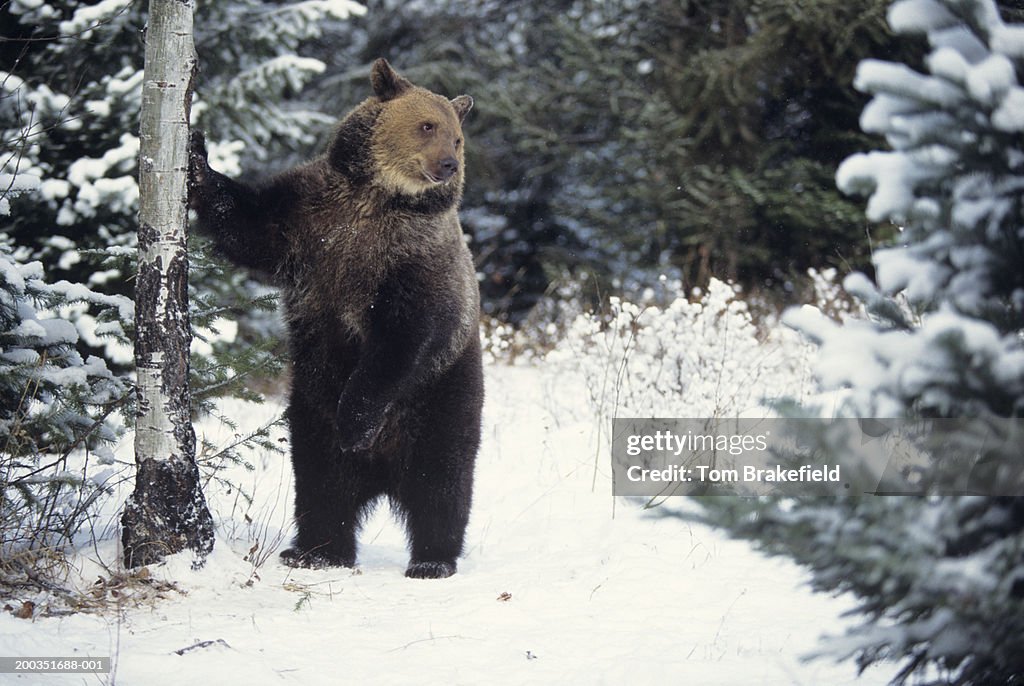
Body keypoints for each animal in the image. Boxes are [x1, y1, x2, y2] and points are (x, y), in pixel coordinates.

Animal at [188, 57, 483, 581]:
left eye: (457, 137)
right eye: (428, 126)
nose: (447, 165)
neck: (377, 198)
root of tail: (382, 475)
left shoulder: (414, 262)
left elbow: (403, 339)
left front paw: (356, 421)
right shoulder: (309, 220)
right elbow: (249, 223)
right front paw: (199, 158)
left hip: (443, 392)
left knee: (441, 479)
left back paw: (432, 558)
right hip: (308, 404)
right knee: (321, 482)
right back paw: (316, 550)